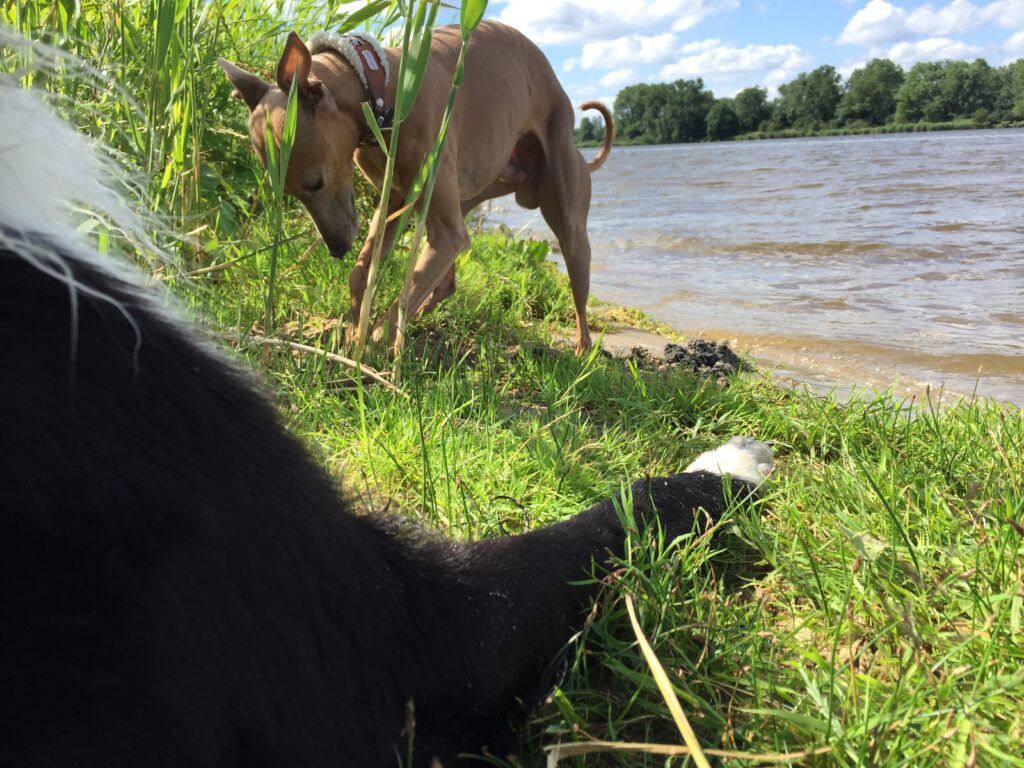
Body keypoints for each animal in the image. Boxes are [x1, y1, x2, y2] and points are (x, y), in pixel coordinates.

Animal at [220, 19, 610, 354]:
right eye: (288, 193)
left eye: (315, 183)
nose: (337, 248)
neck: (382, 87)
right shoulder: (394, 201)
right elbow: (362, 273)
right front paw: (353, 335)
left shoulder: (442, 226)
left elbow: (402, 296)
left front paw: (371, 345)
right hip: (460, 199)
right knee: (444, 280)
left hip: (567, 224)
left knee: (577, 283)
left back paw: (582, 351)